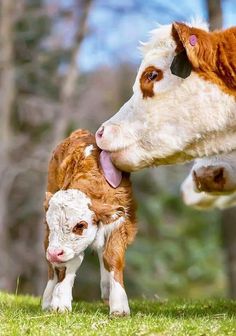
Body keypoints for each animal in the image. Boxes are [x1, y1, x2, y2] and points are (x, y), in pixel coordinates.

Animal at [41, 129, 136, 316]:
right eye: (50, 223)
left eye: (80, 225)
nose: (54, 253)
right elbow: (69, 263)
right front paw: (59, 301)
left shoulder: (120, 221)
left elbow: (112, 258)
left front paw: (119, 306)